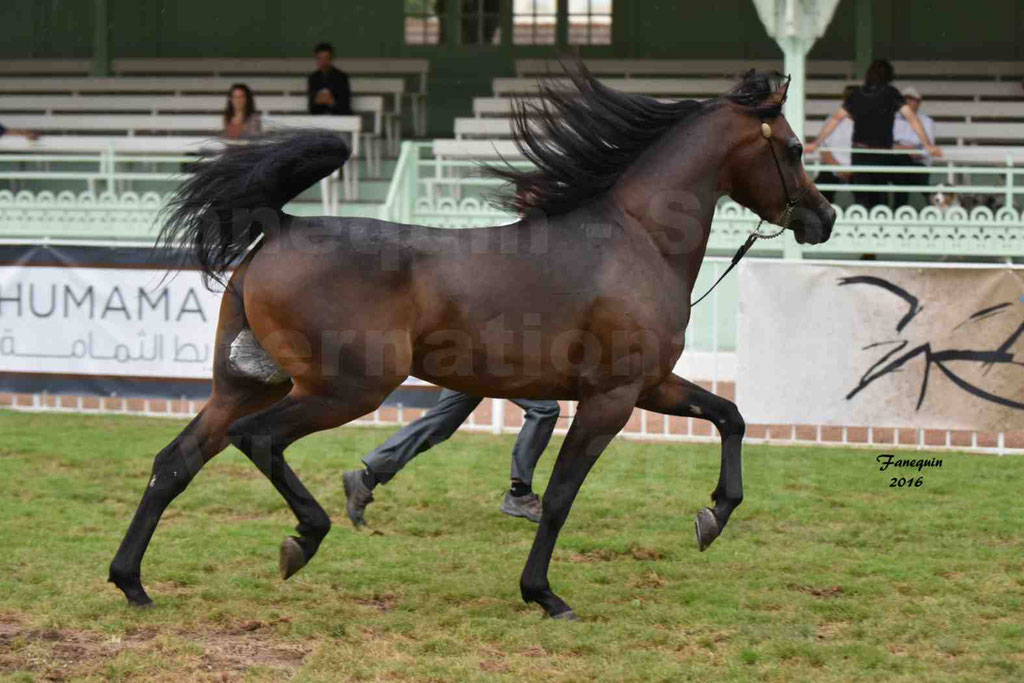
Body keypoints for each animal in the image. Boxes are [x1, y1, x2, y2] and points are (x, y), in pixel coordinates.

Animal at [108, 62, 835, 618]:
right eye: (795, 148)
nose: (824, 218)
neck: (636, 238)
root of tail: (281, 225)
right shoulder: (611, 396)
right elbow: (563, 493)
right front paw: (544, 594)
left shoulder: (650, 385)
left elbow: (731, 415)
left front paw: (714, 516)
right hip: (343, 389)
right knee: (257, 441)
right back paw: (304, 539)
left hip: (246, 383)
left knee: (175, 462)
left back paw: (132, 583)